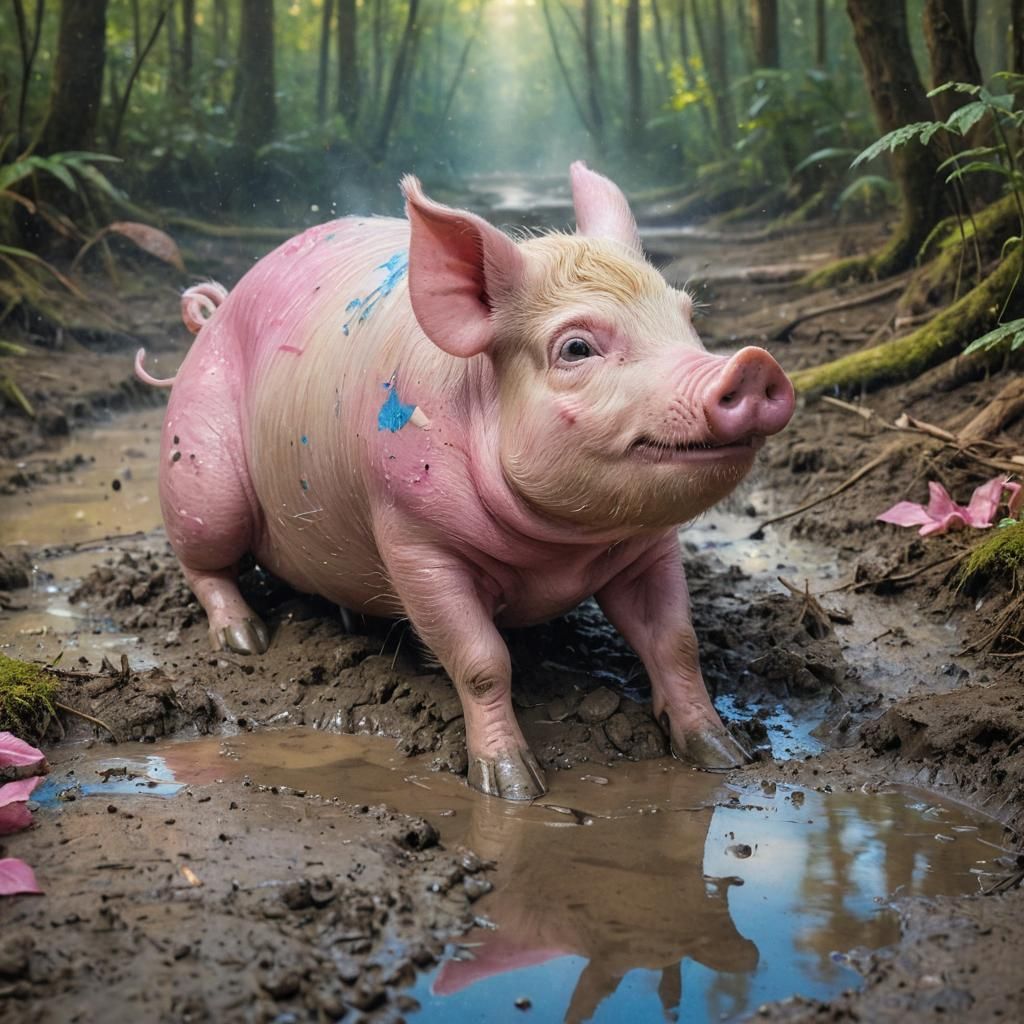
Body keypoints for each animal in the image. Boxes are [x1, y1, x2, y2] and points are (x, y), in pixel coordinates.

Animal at [135, 163, 795, 801]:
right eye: (576, 348)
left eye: (688, 318)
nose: (753, 364)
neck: (556, 557)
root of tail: (216, 310)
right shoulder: (414, 537)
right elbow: (481, 661)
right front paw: (513, 789)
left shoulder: (650, 544)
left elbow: (675, 642)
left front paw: (724, 756)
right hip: (201, 471)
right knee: (203, 562)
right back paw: (245, 641)